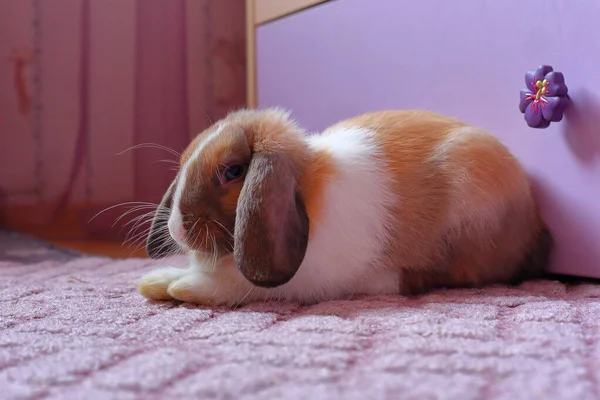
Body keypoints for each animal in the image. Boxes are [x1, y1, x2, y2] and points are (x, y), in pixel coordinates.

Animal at [138, 108, 552, 306]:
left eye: (232, 171)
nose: (176, 229)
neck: (308, 192)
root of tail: (535, 226)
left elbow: (237, 286)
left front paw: (181, 286)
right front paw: (156, 281)